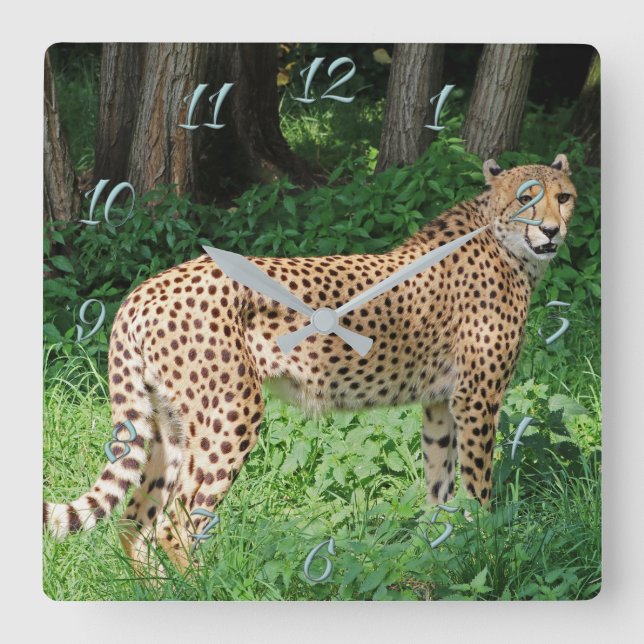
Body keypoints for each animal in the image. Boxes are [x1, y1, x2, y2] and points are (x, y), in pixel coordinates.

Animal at [44, 154, 577, 571]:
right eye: (526, 200)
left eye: (564, 197)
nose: (552, 231)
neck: (507, 245)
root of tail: (147, 286)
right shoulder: (476, 399)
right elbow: (479, 488)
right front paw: (485, 546)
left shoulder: (441, 403)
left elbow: (440, 486)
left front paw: (442, 552)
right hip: (231, 412)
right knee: (176, 520)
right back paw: (200, 589)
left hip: (167, 423)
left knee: (136, 518)